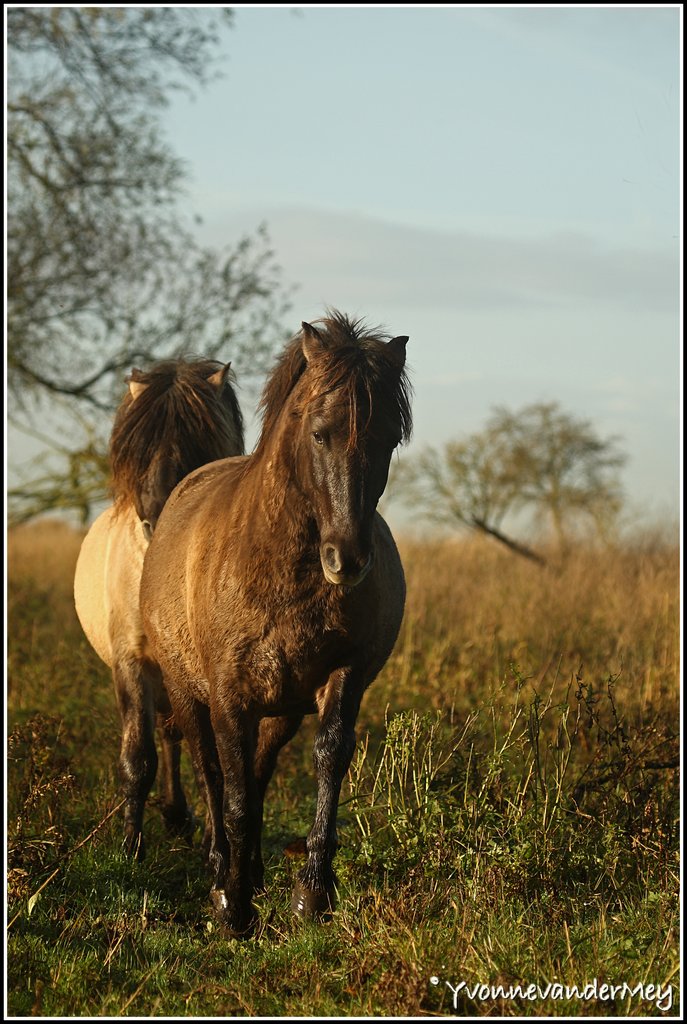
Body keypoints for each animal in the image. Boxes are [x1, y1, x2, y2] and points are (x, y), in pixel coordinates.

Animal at [72, 360, 243, 856]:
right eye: (141, 447)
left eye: (199, 440)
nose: (155, 522)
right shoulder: (131, 661)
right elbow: (138, 757)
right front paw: (131, 846)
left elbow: (209, 760)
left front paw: (211, 839)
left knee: (175, 736)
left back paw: (179, 815)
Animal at [137, 311, 411, 937]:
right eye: (319, 433)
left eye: (388, 438)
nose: (348, 559)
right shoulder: (228, 698)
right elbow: (233, 794)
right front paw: (233, 905)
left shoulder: (341, 679)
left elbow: (327, 763)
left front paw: (312, 893)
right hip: (188, 692)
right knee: (210, 770)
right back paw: (221, 866)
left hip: (283, 707)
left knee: (260, 769)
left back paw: (255, 869)